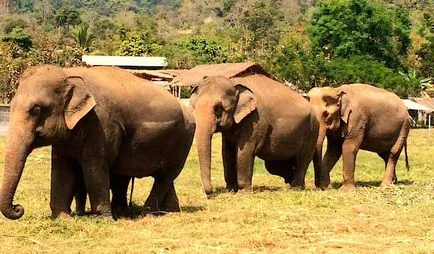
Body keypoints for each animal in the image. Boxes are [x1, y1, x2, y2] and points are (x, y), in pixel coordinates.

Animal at [0, 64, 193, 219]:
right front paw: (62, 218)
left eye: (37, 109)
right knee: (161, 177)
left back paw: (148, 213)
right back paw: (168, 211)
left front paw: (103, 219)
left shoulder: (101, 123)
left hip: (183, 141)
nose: (18, 207)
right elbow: (62, 167)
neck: (68, 73)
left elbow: (94, 166)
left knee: (165, 175)